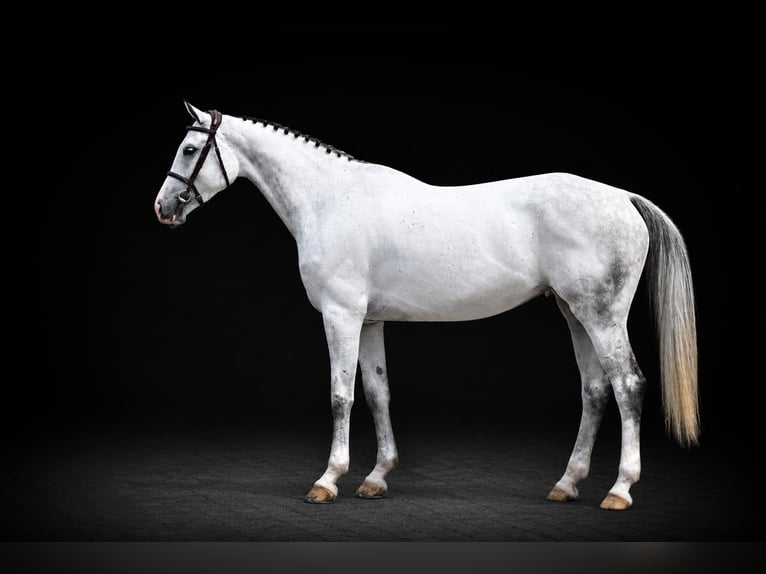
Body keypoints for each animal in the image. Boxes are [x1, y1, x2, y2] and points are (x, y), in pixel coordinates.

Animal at [154, 100, 698, 510]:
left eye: (189, 149)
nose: (162, 209)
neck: (332, 200)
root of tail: (623, 197)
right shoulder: (370, 320)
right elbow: (377, 393)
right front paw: (376, 477)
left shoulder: (341, 316)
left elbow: (340, 396)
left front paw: (328, 480)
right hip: (574, 312)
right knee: (595, 390)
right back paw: (566, 485)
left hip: (602, 316)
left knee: (628, 386)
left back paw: (620, 490)